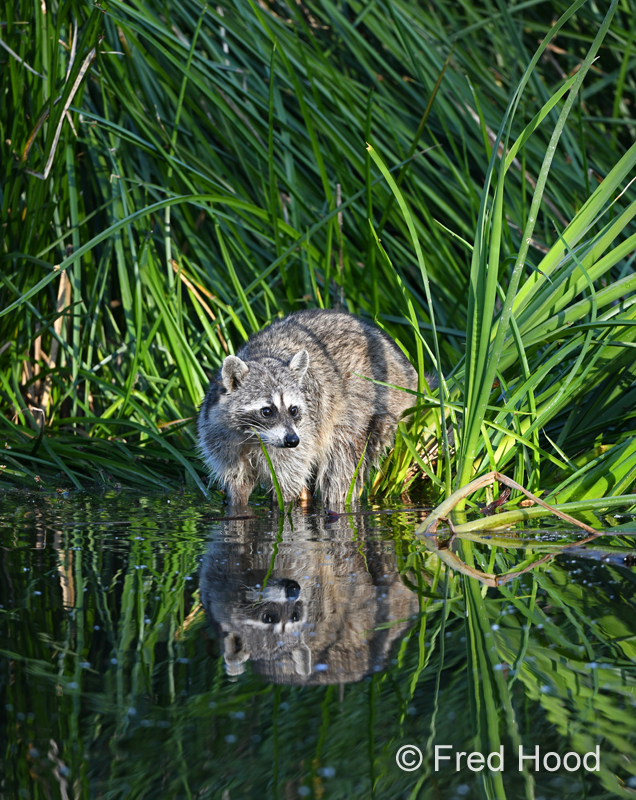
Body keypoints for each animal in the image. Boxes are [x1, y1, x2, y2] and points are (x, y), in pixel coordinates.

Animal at [197, 308, 418, 508]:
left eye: (293, 410)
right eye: (267, 411)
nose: (292, 440)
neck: (251, 436)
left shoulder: (300, 437)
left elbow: (287, 483)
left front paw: (284, 506)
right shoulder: (219, 438)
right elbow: (238, 484)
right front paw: (237, 505)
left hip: (373, 405)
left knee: (341, 464)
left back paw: (336, 501)